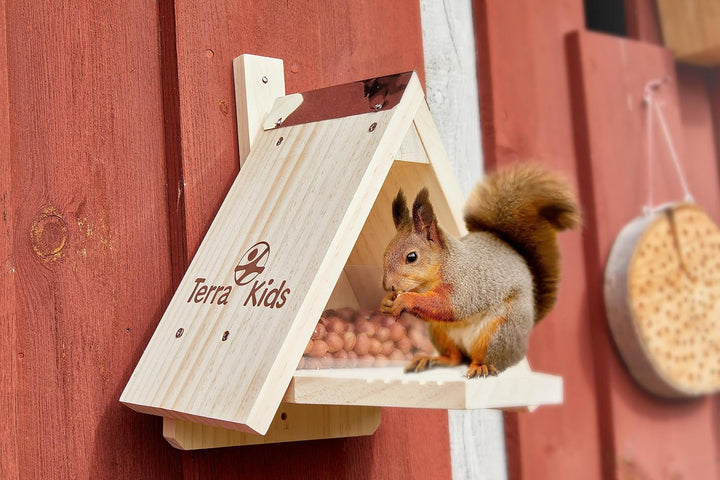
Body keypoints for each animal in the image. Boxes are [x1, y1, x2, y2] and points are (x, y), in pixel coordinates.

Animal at [380, 163, 581, 378]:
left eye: (412, 257)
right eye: (385, 252)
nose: (387, 285)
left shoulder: (465, 284)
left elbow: (448, 305)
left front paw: (406, 300)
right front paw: (386, 302)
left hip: (499, 331)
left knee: (488, 359)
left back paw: (480, 367)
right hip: (439, 331)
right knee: (454, 358)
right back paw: (432, 359)